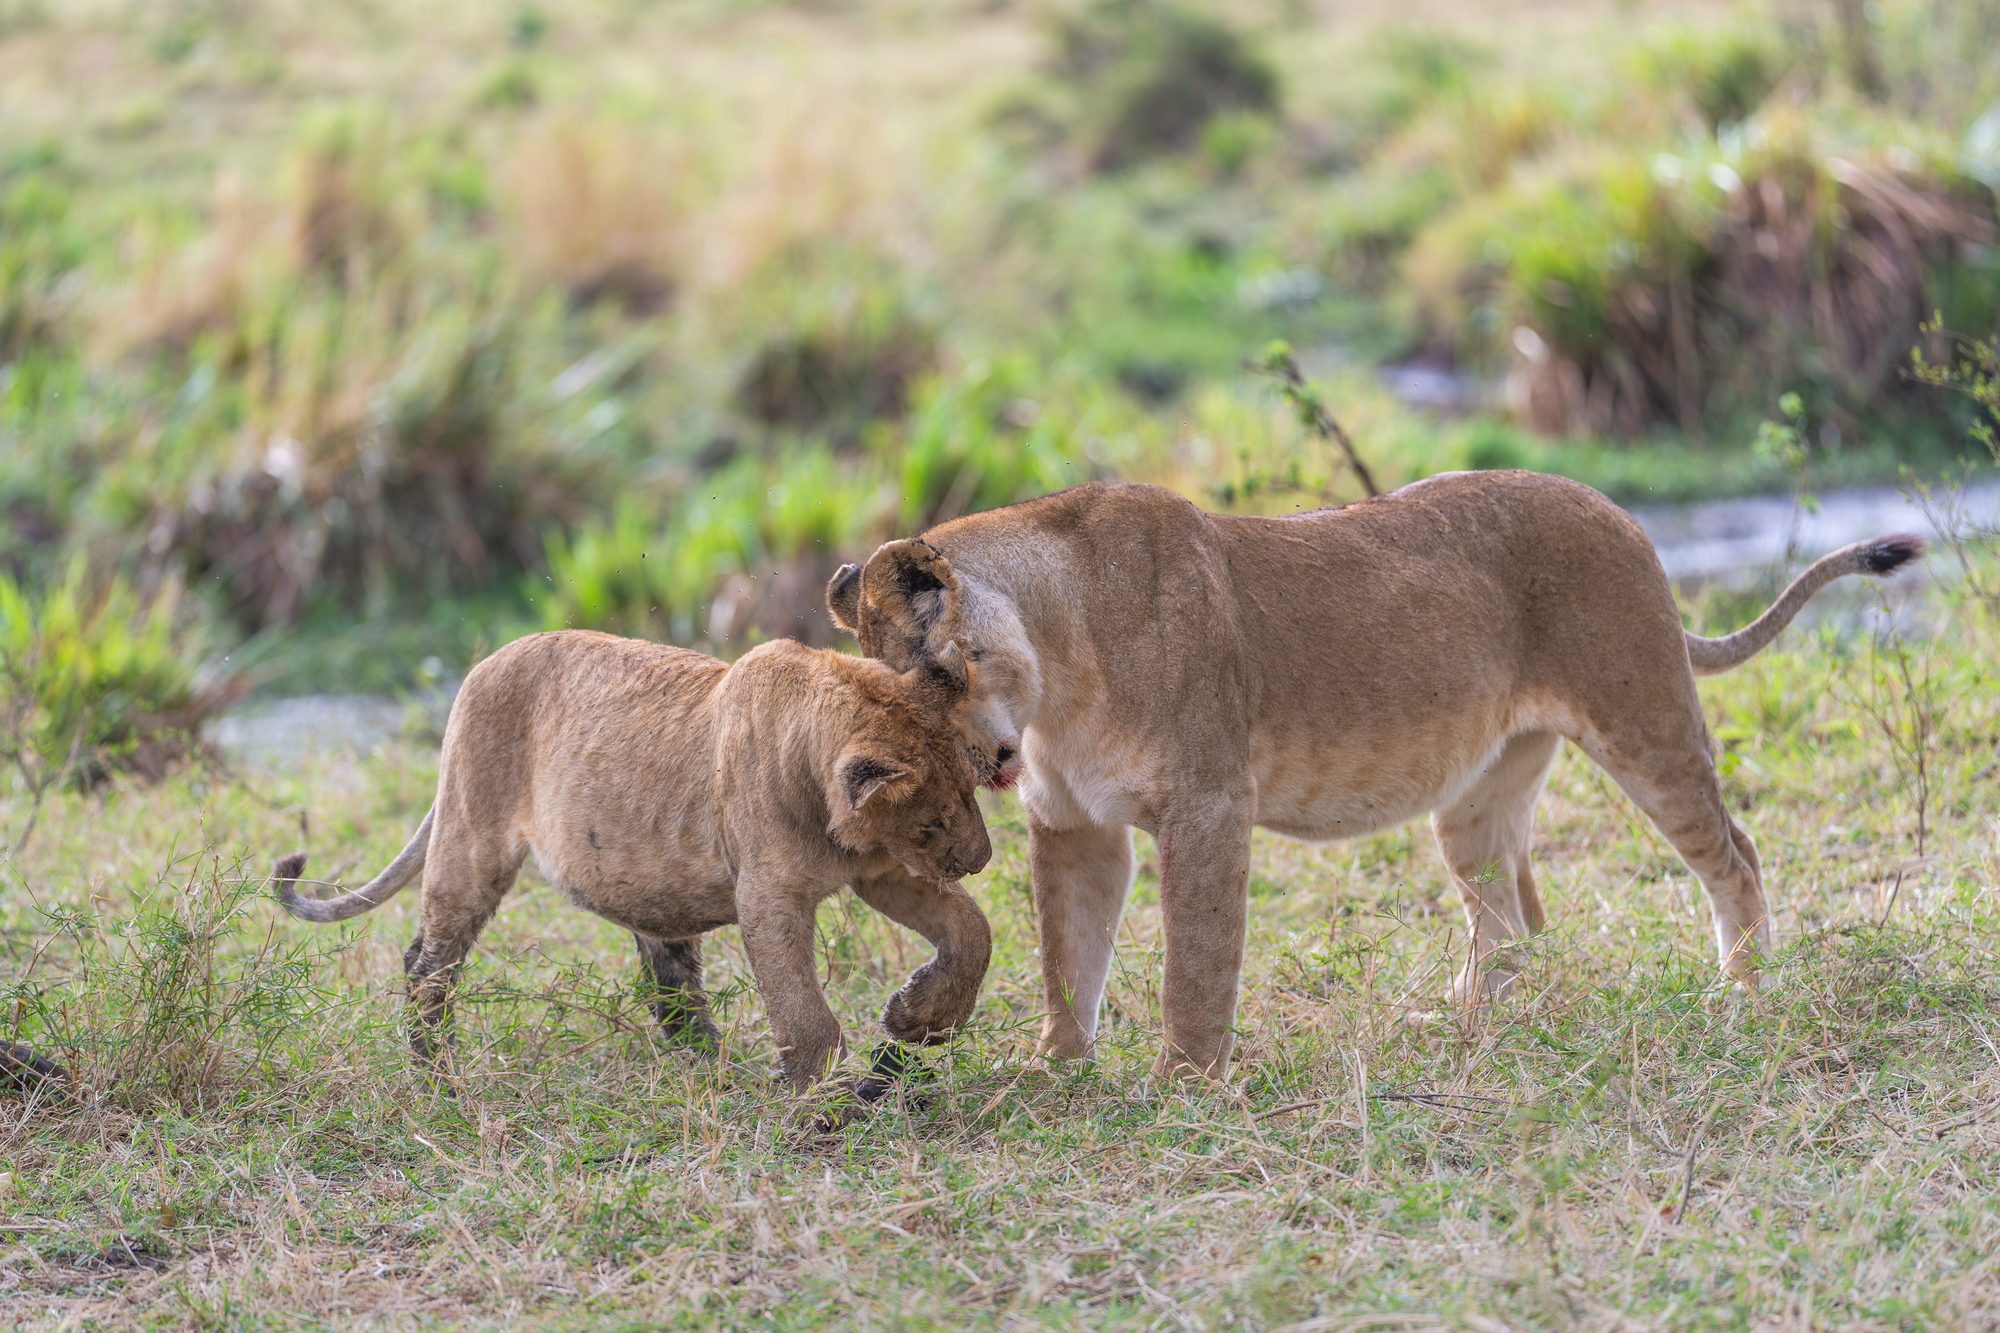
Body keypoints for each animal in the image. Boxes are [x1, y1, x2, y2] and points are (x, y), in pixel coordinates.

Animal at [271, 630, 993, 1092]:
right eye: (933, 819)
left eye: (972, 790)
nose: (981, 858)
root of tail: (482, 665)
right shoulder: (769, 894)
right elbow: (800, 1007)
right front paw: (826, 1096)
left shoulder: (885, 870)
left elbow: (971, 933)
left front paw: (917, 1021)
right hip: (470, 834)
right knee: (425, 959)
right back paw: (436, 1073)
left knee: (668, 977)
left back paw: (715, 1066)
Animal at [826, 472, 1924, 1077]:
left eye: (938, 672)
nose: (968, 768)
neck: (1058, 662)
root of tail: (1622, 515)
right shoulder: (1074, 826)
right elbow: (1068, 955)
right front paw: (1056, 1066)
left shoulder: (1208, 805)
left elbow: (1194, 959)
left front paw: (1186, 1078)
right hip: (1477, 794)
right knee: (1510, 916)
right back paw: (1464, 1020)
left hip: (1643, 720)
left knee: (1732, 852)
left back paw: (1742, 991)